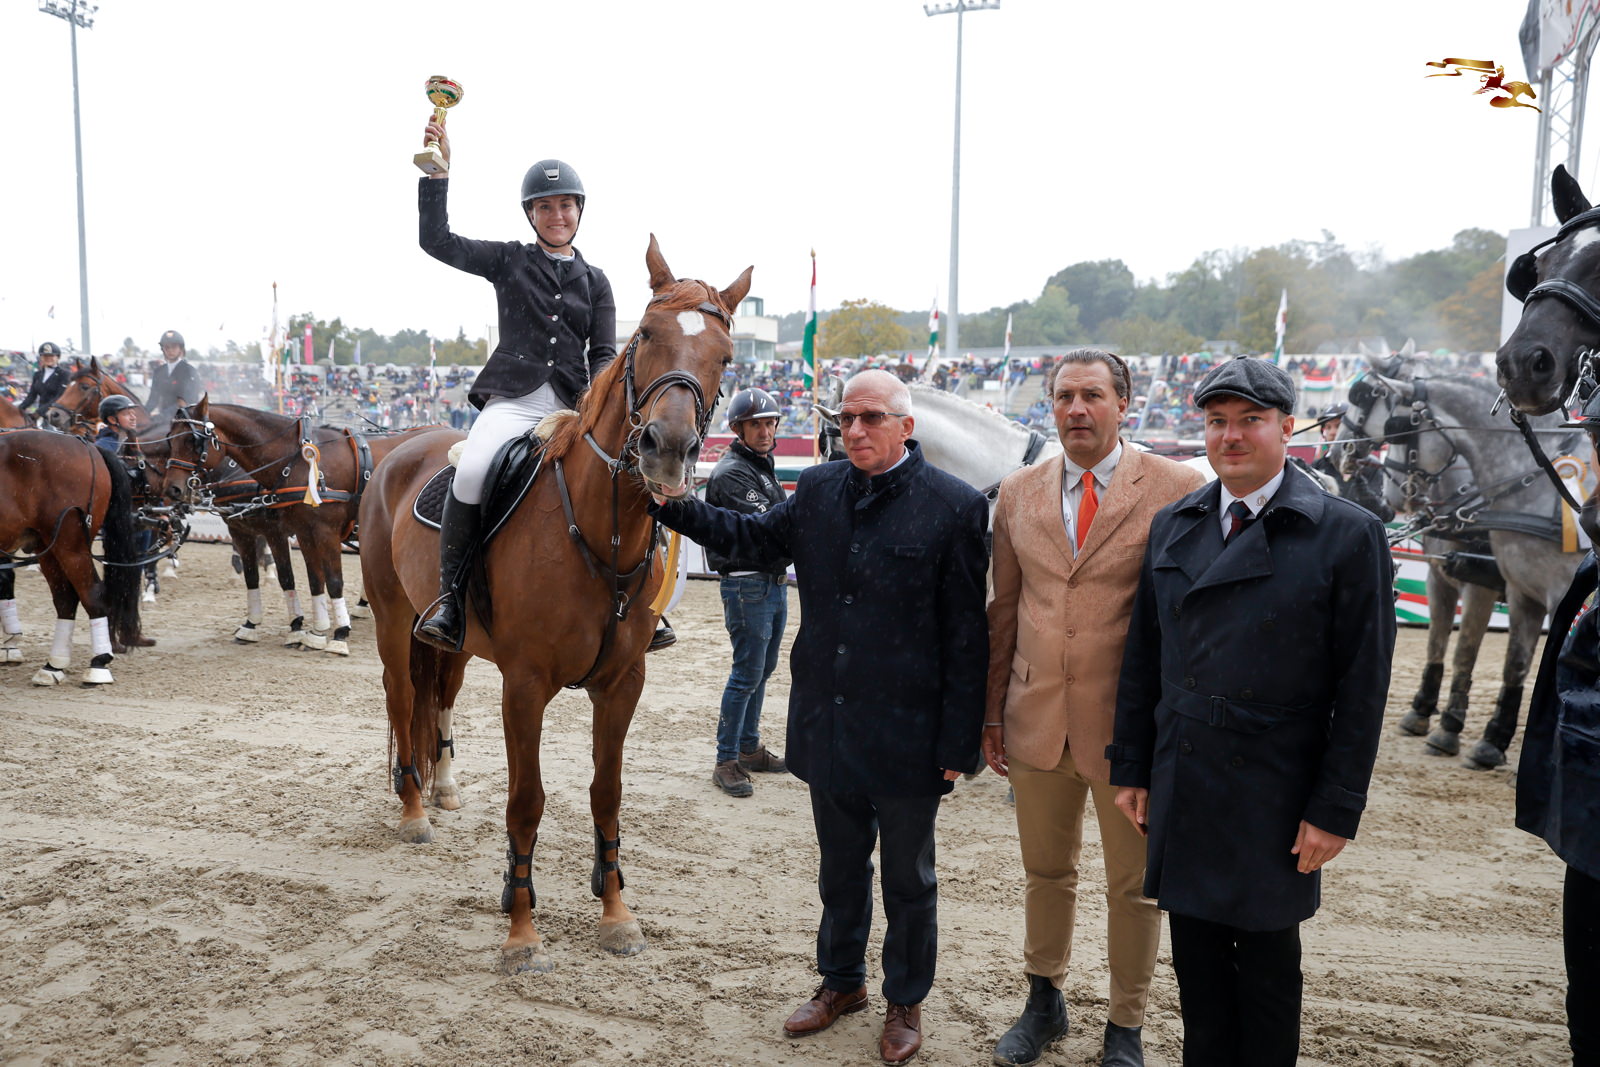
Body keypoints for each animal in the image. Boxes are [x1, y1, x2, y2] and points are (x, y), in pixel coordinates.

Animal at [0, 430, 147, 684]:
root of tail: (88, 446)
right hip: (48, 548)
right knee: (65, 598)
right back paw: (53, 665)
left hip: (70, 545)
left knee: (91, 593)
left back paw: (98, 663)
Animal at [358, 236, 749, 975]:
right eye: (645, 335)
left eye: (726, 356)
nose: (669, 448)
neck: (600, 527)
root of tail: (399, 445)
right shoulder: (525, 685)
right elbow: (527, 802)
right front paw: (520, 931)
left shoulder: (623, 683)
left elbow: (607, 793)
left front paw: (616, 913)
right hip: (394, 622)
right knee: (402, 697)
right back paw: (415, 811)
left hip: (451, 642)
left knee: (437, 698)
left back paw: (444, 788)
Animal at [1337, 370, 1585, 768]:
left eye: (1395, 427)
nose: (1339, 450)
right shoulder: (1445, 579)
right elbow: (1440, 644)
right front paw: (1424, 713)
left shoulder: (1484, 587)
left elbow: (1464, 651)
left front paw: (1450, 727)